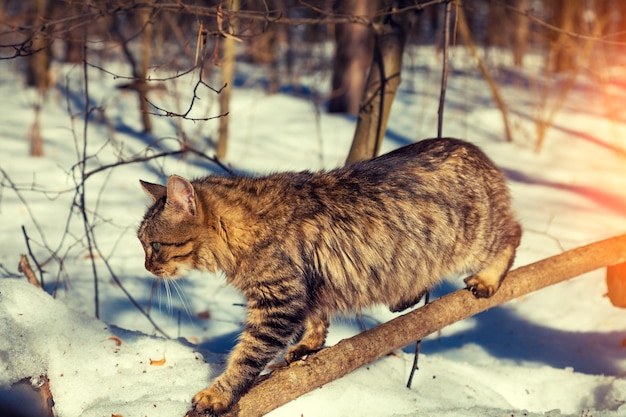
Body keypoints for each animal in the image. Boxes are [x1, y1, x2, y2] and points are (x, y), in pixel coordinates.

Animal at [138, 136, 520, 412]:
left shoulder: (278, 302)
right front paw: (309, 345)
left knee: (512, 234)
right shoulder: (308, 290)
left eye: (154, 245)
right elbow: (316, 320)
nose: (146, 266)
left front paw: (218, 393)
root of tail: (476, 152)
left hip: (475, 240)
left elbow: (247, 356)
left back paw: (488, 279)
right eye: (141, 243)